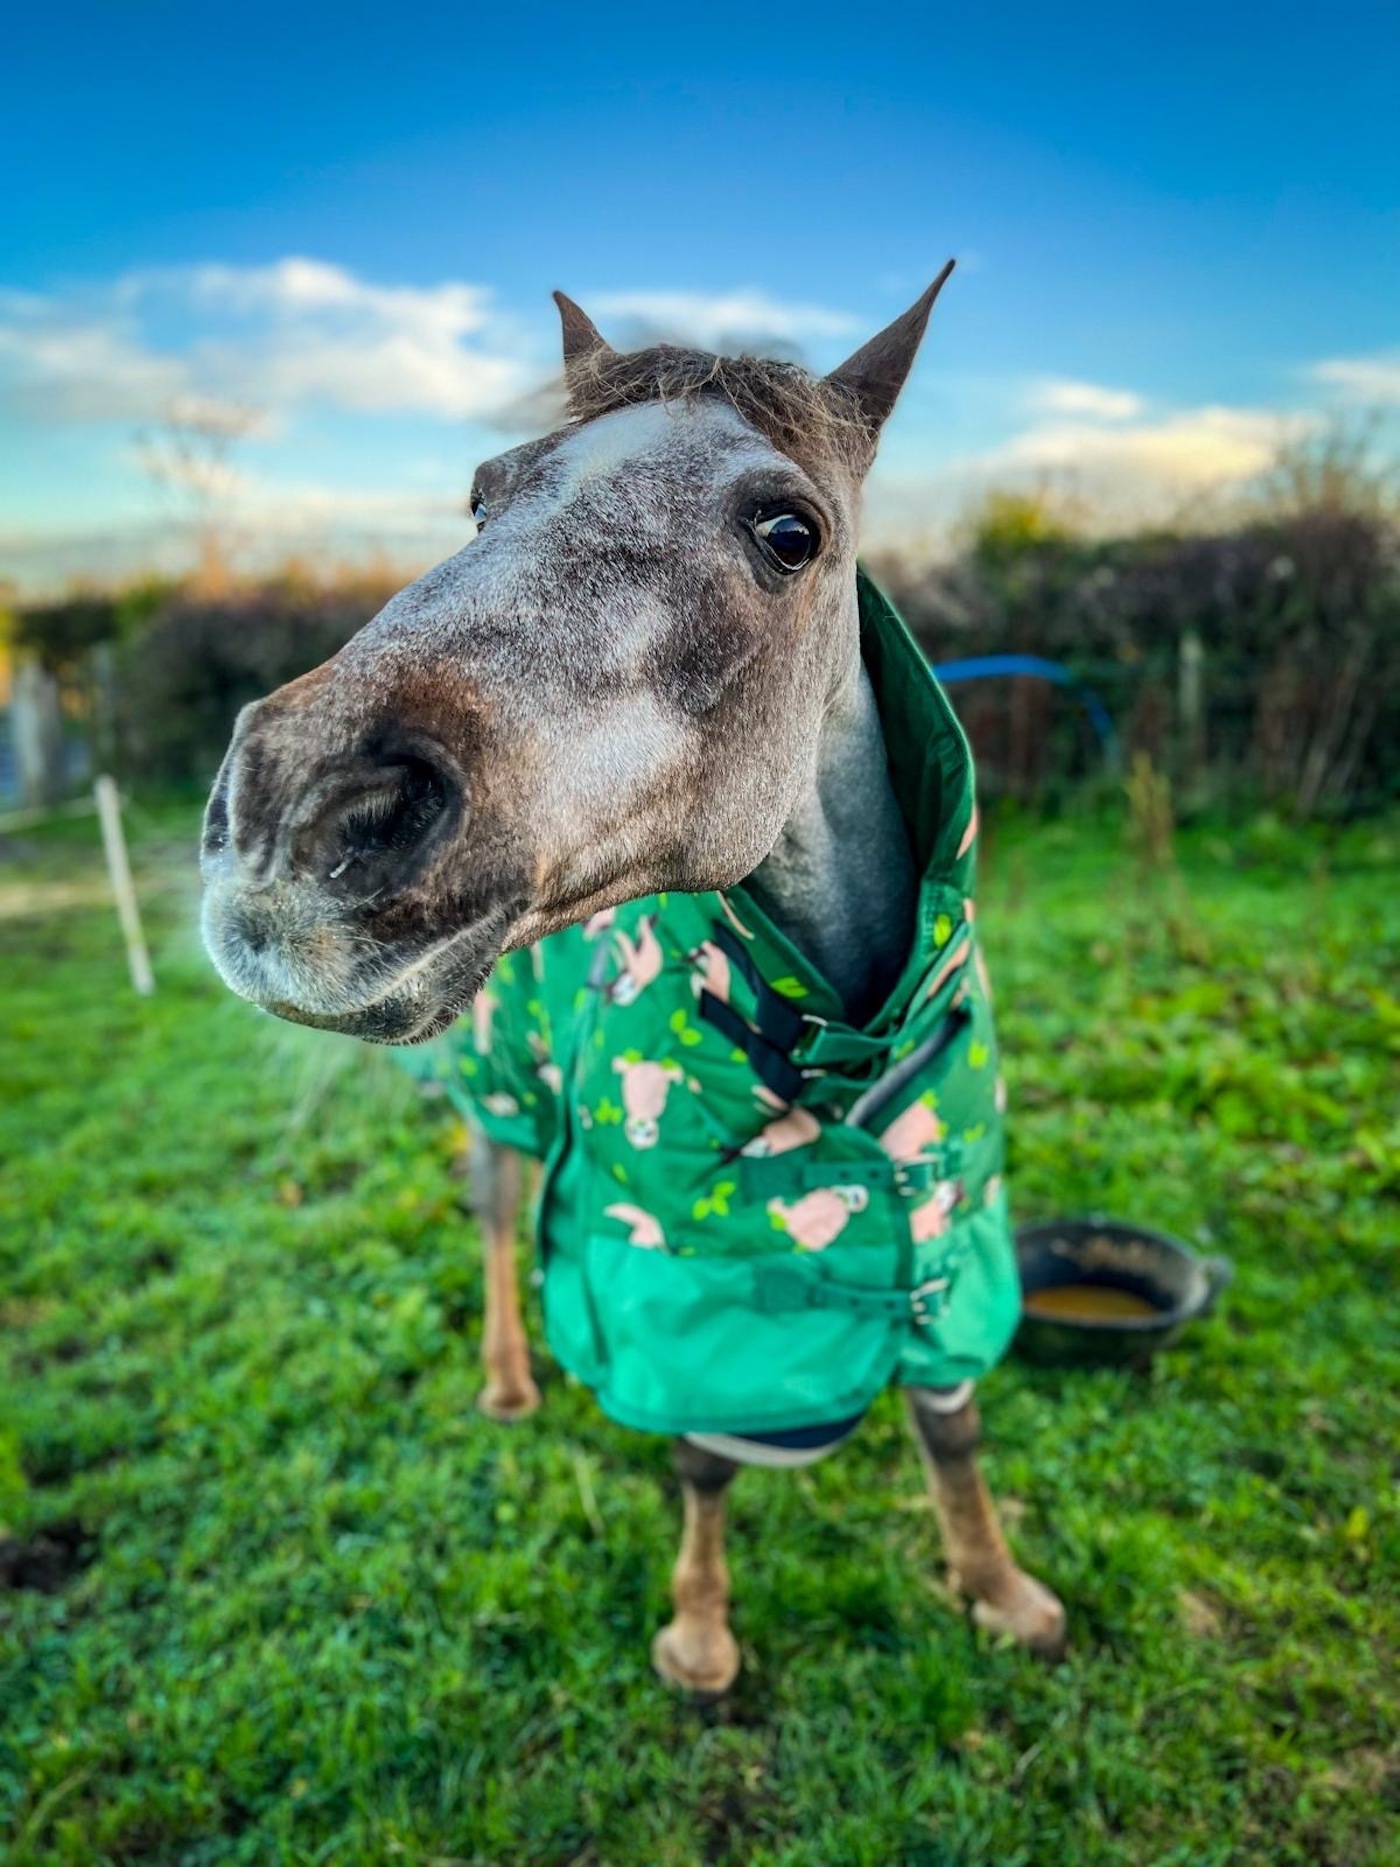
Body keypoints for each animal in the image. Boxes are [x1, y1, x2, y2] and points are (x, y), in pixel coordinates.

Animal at [200, 269, 1067, 1695]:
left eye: (789, 530)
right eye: (483, 493)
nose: (294, 809)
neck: (843, 1026)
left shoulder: (946, 1214)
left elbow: (949, 1420)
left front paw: (998, 1588)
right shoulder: (681, 1259)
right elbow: (706, 1457)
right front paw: (701, 1632)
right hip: (500, 1087)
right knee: (497, 1213)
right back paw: (508, 1381)